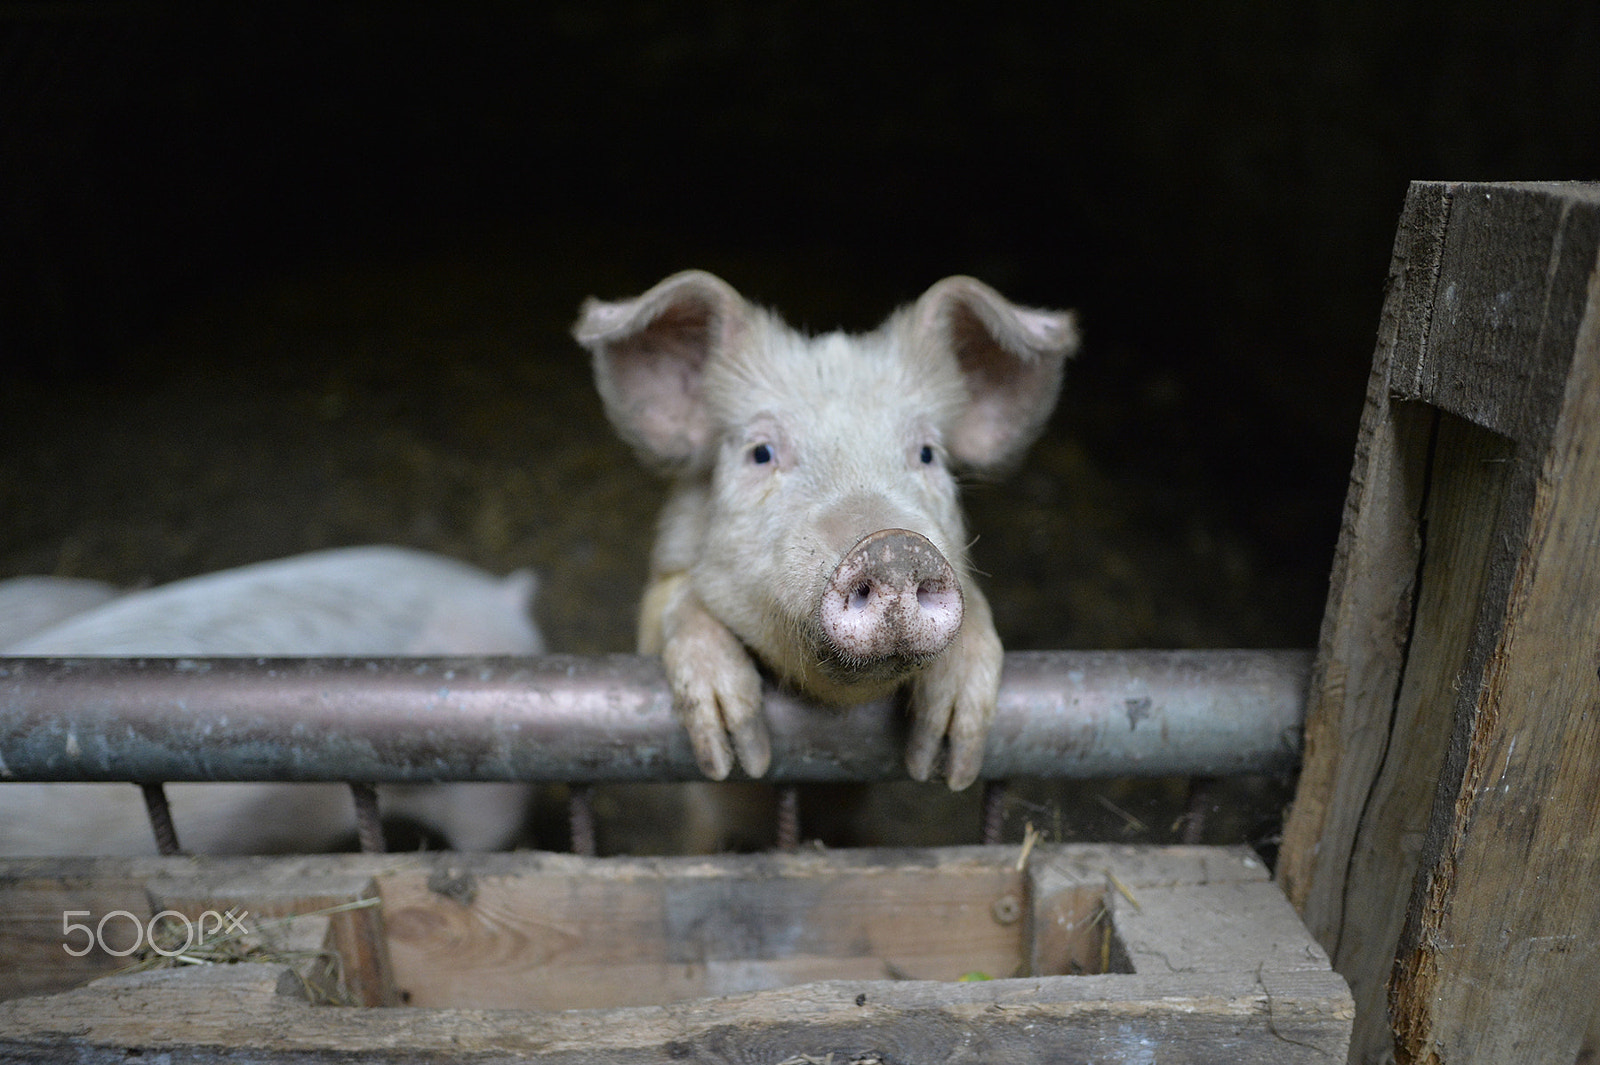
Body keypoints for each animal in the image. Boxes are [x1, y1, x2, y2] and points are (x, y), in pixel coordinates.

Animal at [569, 270, 1081, 793]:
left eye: (927, 454)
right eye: (760, 452)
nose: (895, 547)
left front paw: (947, 762)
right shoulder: (662, 579)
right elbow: (677, 604)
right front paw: (738, 752)